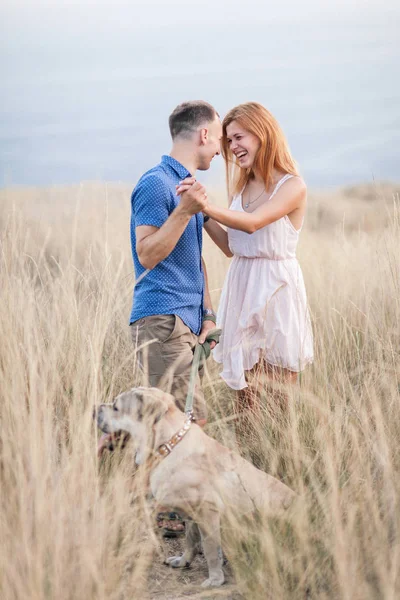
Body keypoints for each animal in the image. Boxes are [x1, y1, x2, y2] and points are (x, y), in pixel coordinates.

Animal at [95, 386, 296, 588]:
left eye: (116, 407)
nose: (95, 410)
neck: (168, 444)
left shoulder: (207, 511)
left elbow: (210, 548)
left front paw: (215, 578)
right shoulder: (190, 513)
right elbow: (190, 539)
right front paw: (184, 561)